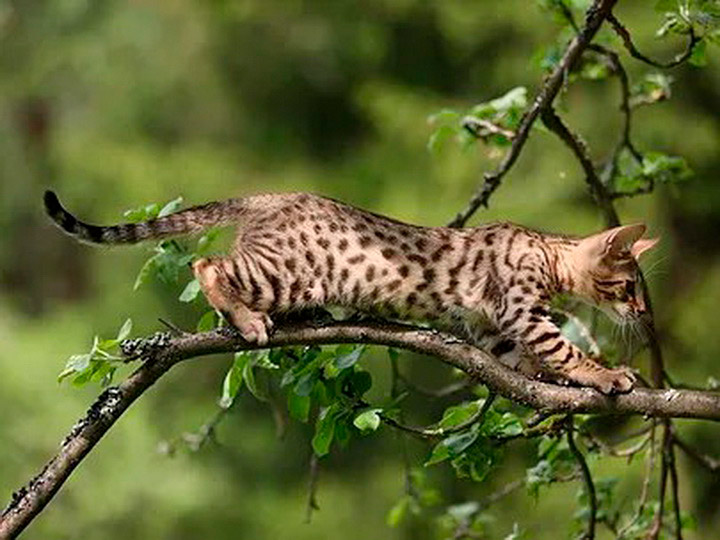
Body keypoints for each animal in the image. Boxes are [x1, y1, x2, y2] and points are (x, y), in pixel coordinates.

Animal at [44, 190, 657, 394]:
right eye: (629, 287)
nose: (642, 314)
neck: (548, 253)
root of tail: (264, 197)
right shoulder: (522, 308)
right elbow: (564, 349)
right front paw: (607, 375)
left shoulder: (491, 327)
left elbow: (527, 360)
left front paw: (554, 381)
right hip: (285, 269)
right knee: (207, 264)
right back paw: (245, 319)